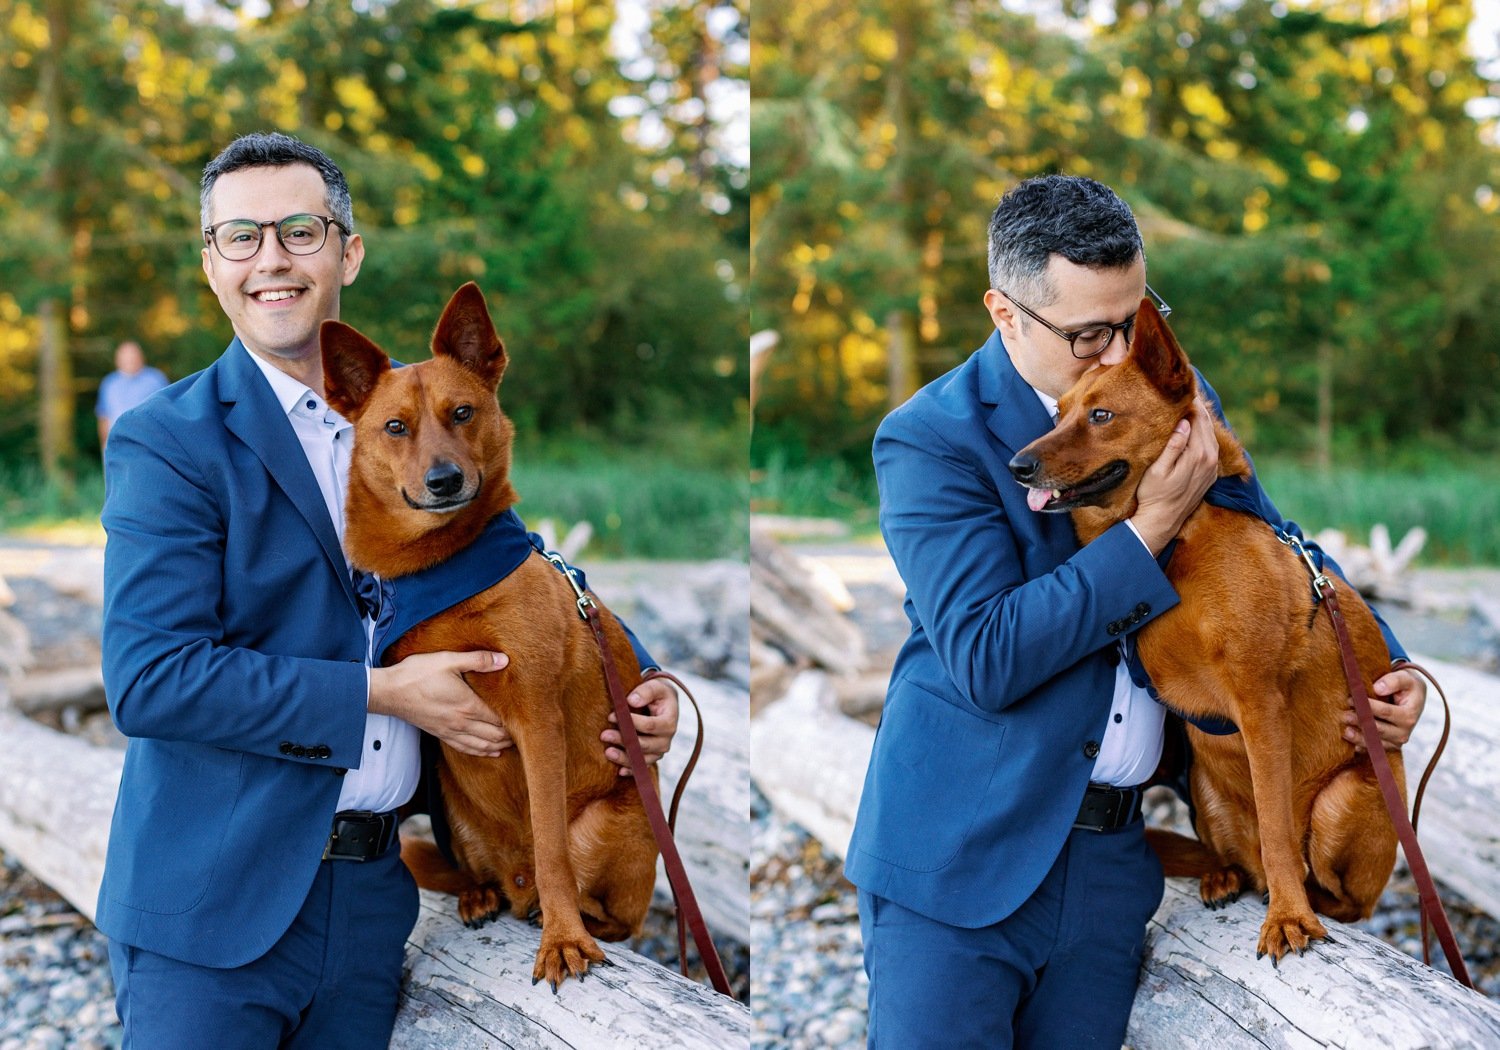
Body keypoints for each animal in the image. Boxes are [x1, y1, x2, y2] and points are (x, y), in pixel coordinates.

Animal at [322, 283, 657, 990]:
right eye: (396, 426)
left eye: (463, 412)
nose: (445, 480)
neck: (442, 569)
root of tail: (514, 879)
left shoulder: (537, 719)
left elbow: (554, 849)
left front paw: (564, 939)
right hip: (457, 812)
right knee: (468, 873)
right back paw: (480, 894)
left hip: (620, 819)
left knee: (606, 904)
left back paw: (574, 916)